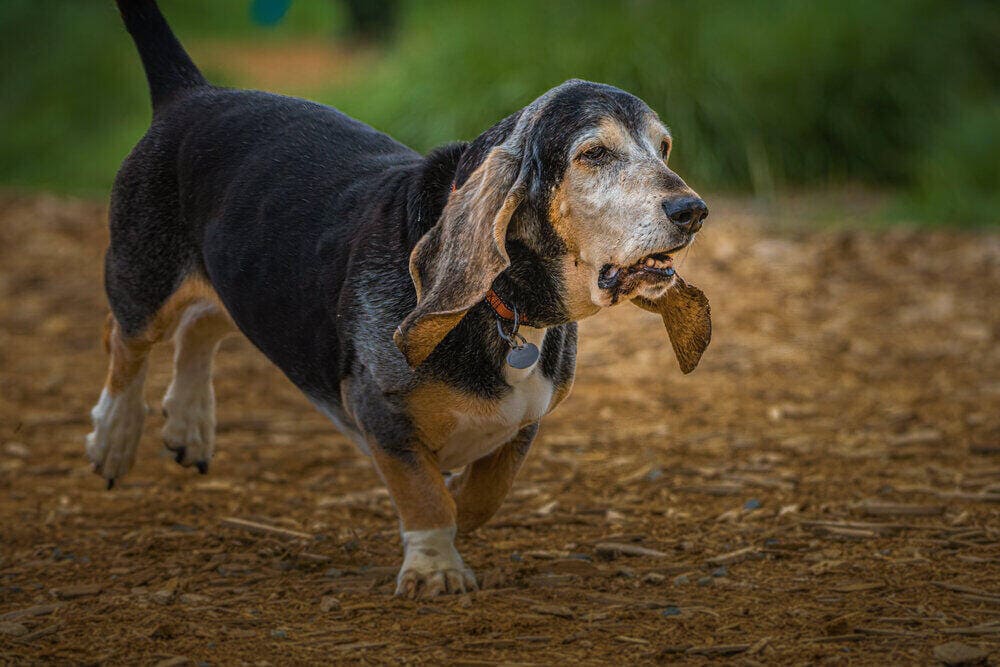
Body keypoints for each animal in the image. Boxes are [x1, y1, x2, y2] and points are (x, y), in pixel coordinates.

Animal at [86, 0, 712, 596]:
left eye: (664, 148)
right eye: (594, 154)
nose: (693, 211)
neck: (502, 309)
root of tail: (191, 94)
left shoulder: (525, 422)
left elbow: (482, 497)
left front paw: (455, 514)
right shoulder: (381, 411)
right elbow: (426, 496)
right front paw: (435, 568)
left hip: (236, 280)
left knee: (201, 324)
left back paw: (188, 425)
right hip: (143, 280)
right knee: (124, 341)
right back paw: (114, 438)